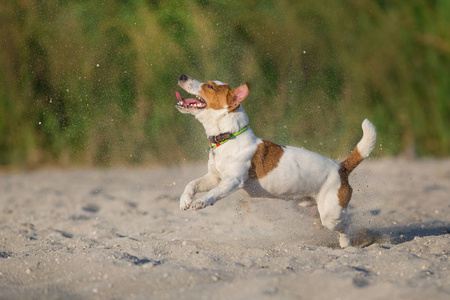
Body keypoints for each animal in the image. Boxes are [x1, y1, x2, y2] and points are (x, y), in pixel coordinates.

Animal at [176, 74, 376, 247]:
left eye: (210, 86)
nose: (182, 76)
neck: (229, 136)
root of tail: (341, 167)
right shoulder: (214, 177)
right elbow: (191, 184)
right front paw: (185, 200)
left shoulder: (232, 181)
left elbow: (214, 192)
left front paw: (202, 201)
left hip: (331, 215)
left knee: (346, 224)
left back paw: (347, 245)